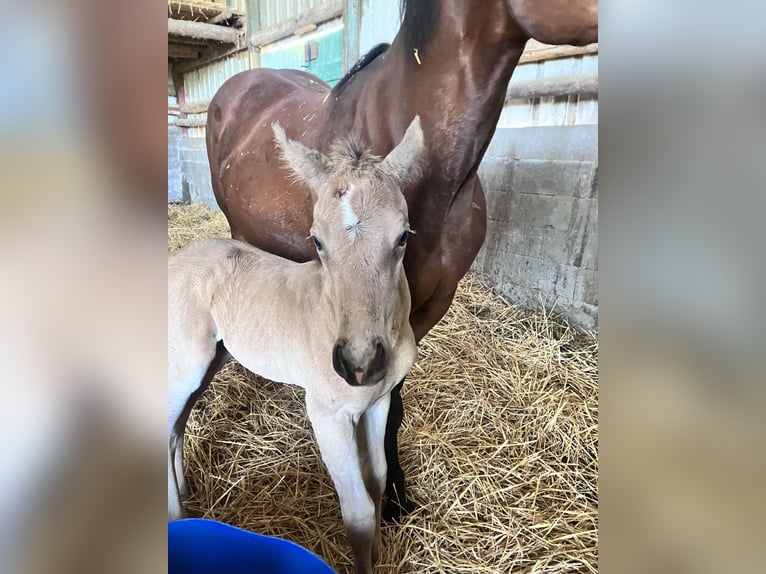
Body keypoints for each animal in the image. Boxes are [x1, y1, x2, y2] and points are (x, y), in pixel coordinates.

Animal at [169, 118, 424, 573]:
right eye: (317, 241)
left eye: (402, 238)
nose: (359, 363)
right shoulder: (327, 413)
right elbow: (357, 509)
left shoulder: (377, 403)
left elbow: (376, 480)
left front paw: (380, 552)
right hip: (185, 362)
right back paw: (175, 513)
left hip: (209, 362)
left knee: (178, 424)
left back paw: (184, 499)